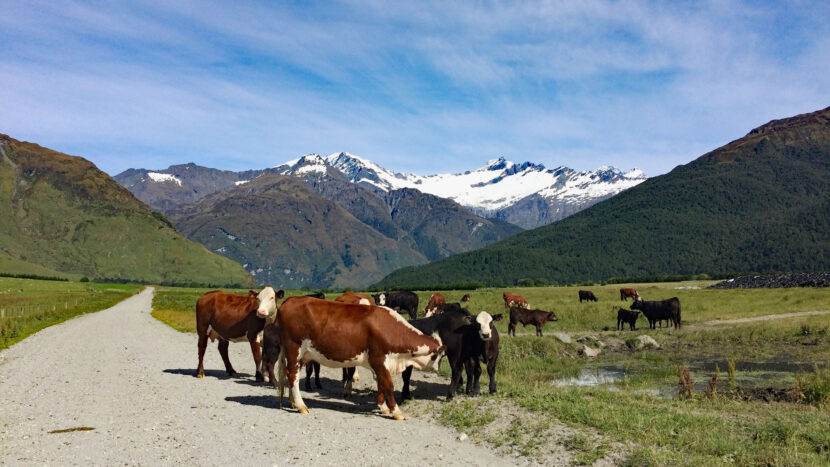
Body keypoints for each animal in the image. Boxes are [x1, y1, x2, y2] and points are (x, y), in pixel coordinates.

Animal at [270, 298, 446, 422]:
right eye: (440, 356)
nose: (438, 369)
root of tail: (290, 300)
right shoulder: (379, 359)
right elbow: (388, 385)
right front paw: (396, 412)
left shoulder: (379, 364)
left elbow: (381, 385)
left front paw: (383, 407)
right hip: (294, 349)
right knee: (293, 375)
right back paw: (301, 406)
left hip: (300, 355)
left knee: (291, 375)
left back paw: (293, 402)